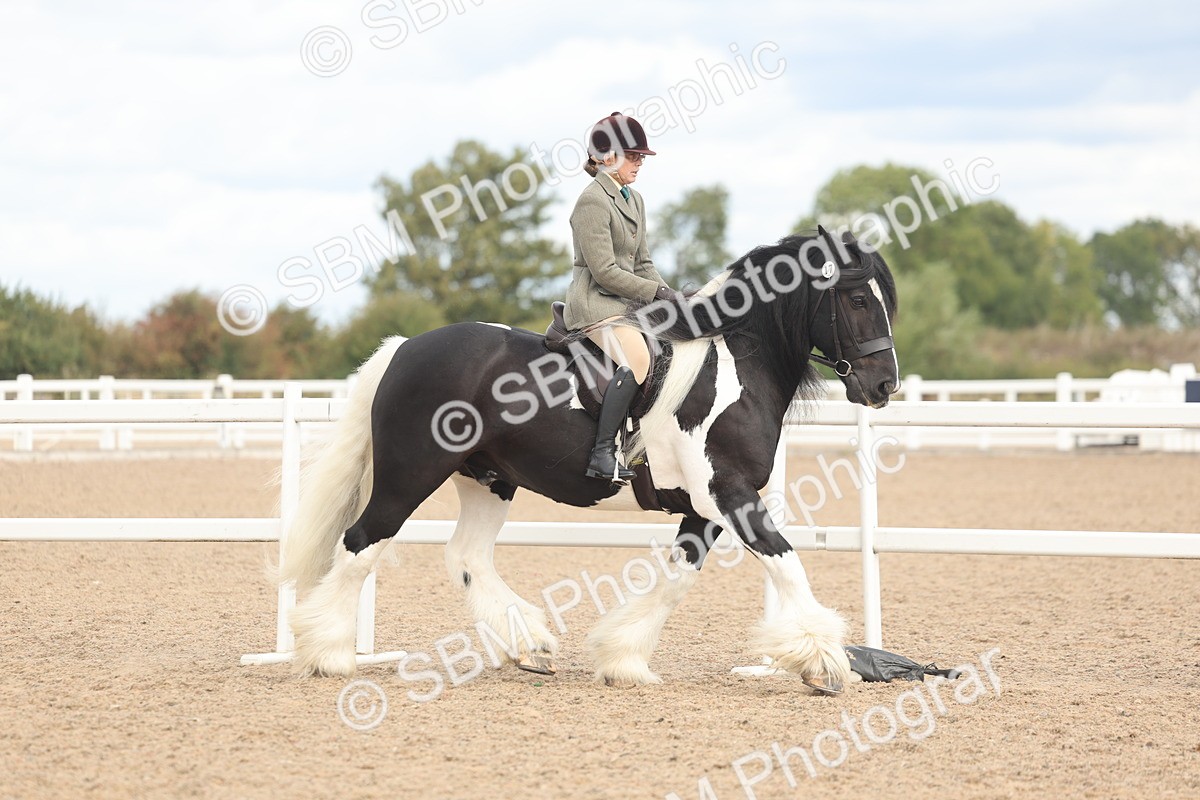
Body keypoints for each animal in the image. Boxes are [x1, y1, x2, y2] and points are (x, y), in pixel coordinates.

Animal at [280, 225, 900, 693]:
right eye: (858, 299)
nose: (883, 386)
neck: (732, 368)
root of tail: (404, 348)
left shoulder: (703, 508)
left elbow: (676, 579)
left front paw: (623, 659)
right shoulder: (729, 494)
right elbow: (786, 561)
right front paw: (825, 662)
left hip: (488, 479)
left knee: (466, 556)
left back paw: (529, 645)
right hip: (410, 473)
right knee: (361, 543)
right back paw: (329, 654)